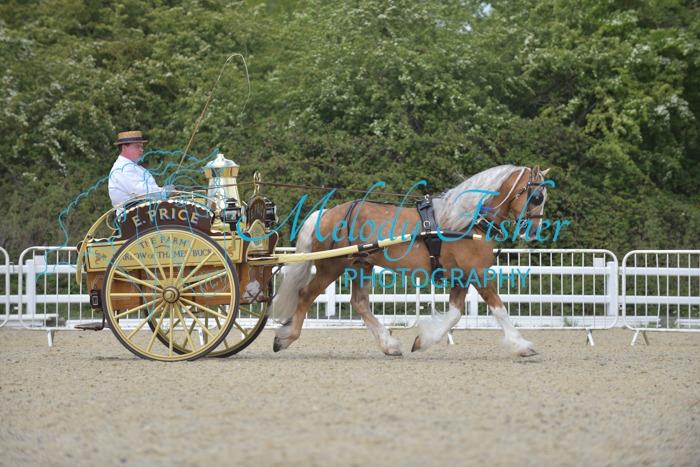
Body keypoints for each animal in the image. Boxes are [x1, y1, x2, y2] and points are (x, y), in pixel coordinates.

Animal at [268, 165, 551, 357]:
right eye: (536, 197)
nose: (534, 231)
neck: (469, 221)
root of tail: (327, 212)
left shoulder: (462, 275)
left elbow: (455, 314)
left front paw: (423, 340)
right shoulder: (477, 272)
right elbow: (499, 308)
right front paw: (522, 345)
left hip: (361, 266)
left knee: (359, 303)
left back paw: (389, 345)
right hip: (332, 266)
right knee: (305, 295)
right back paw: (285, 338)